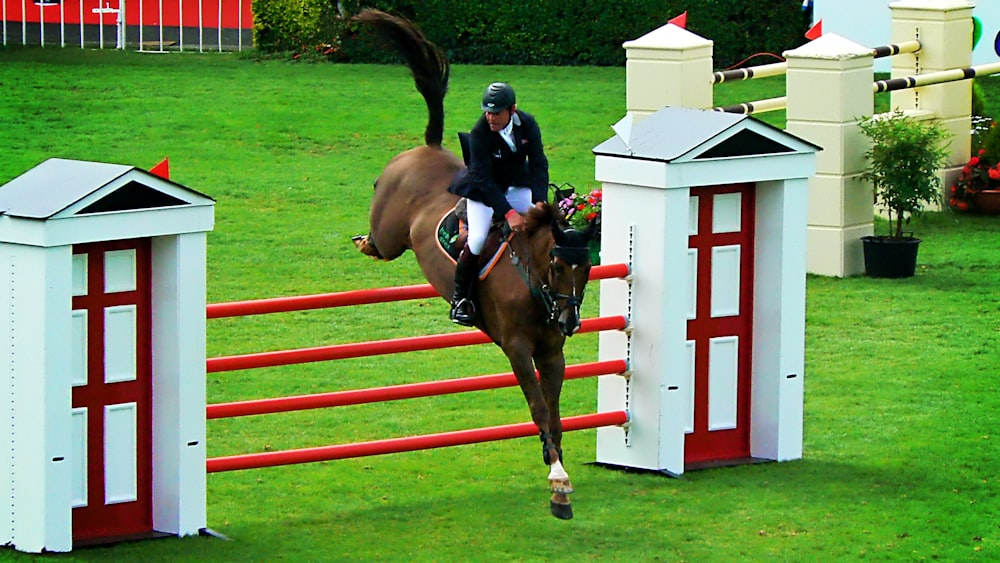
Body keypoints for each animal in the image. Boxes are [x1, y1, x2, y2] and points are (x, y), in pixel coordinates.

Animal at [352, 9, 596, 520]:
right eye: (557, 267)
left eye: (585, 270)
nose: (569, 321)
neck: (533, 284)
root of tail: (427, 148)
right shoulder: (518, 348)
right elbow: (538, 406)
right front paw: (557, 478)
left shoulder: (552, 351)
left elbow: (555, 411)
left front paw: (558, 475)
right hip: (391, 232)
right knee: (380, 244)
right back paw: (364, 241)